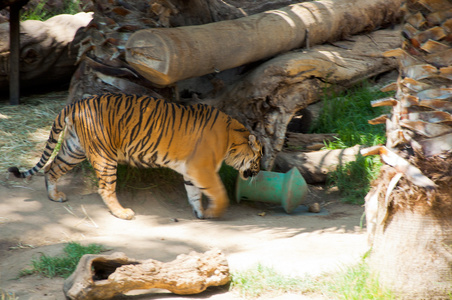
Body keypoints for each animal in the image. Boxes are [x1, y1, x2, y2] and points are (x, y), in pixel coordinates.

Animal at [7, 94, 262, 220]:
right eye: (259, 157)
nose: (259, 172)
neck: (231, 139)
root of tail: (75, 104)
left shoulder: (191, 171)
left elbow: (194, 193)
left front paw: (200, 213)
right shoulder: (203, 169)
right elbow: (219, 193)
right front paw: (214, 213)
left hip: (73, 149)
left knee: (51, 168)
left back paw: (55, 196)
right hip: (104, 155)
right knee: (106, 188)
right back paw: (122, 213)